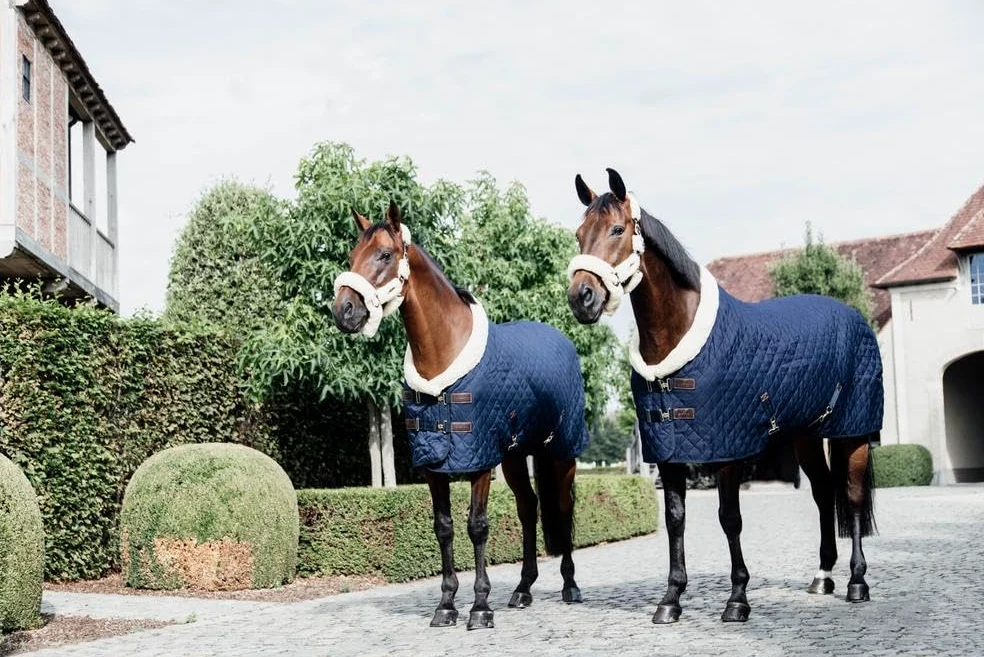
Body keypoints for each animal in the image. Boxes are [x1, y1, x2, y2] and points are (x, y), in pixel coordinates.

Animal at [332, 201, 590, 630]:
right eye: (351, 256)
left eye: (384, 255)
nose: (343, 311)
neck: (444, 358)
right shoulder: (433, 464)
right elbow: (444, 528)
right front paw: (446, 605)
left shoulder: (480, 459)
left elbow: (477, 526)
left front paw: (480, 607)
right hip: (515, 455)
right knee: (528, 507)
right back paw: (522, 590)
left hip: (560, 452)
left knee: (564, 507)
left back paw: (570, 586)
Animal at [566, 169, 880, 624]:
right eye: (579, 234)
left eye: (617, 229)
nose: (581, 298)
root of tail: (852, 316)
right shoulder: (669, 451)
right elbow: (675, 519)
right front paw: (670, 599)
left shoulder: (728, 450)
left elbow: (729, 518)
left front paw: (737, 599)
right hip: (805, 436)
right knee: (823, 492)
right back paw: (822, 576)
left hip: (851, 432)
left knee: (851, 497)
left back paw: (857, 582)